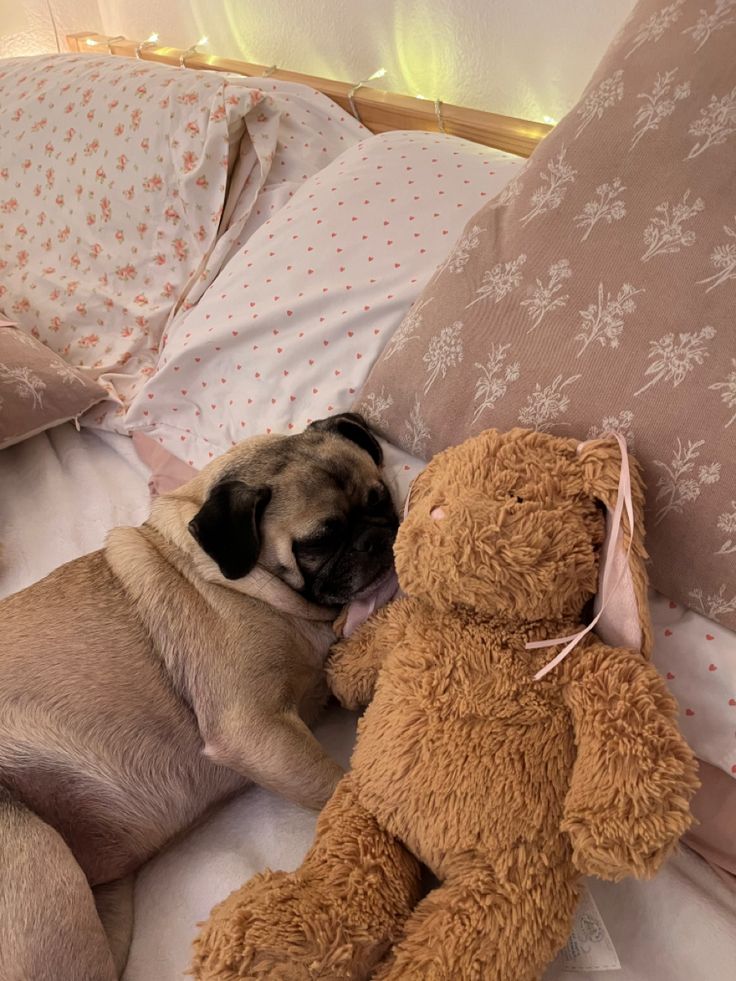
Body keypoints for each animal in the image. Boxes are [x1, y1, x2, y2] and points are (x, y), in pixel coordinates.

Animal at [0, 412, 400, 980]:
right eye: (319, 541)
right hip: (36, 858)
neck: (235, 581)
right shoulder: (254, 730)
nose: (378, 537)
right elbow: (339, 788)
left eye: (380, 498)